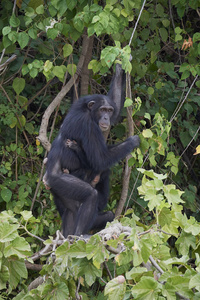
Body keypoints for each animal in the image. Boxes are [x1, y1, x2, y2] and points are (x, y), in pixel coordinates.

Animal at [44, 64, 140, 238]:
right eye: (102, 110)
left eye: (109, 110)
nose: (106, 118)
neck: (88, 111)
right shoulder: (88, 125)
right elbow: (100, 158)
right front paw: (133, 141)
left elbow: (117, 105)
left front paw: (119, 69)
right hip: (58, 181)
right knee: (90, 195)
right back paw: (81, 234)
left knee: (72, 211)